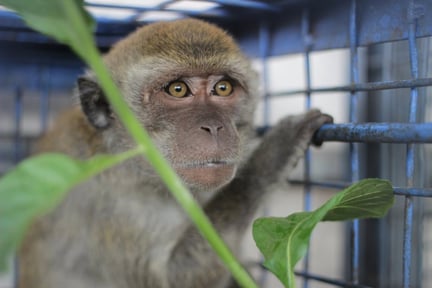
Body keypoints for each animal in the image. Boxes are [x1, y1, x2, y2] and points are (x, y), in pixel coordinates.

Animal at [17, 18, 330, 288]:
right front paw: (273, 155)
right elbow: (172, 278)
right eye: (178, 89)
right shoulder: (114, 206)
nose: (213, 127)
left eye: (223, 87)